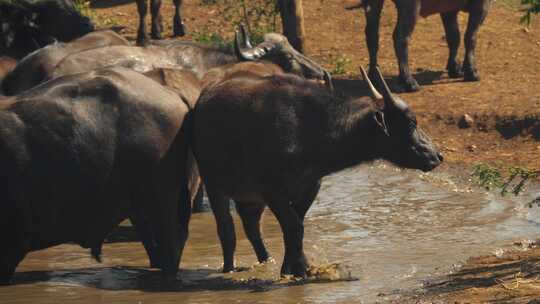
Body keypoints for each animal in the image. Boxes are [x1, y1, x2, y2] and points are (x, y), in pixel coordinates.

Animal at [193, 67, 442, 276]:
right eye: (410, 123)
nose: (438, 155)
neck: (309, 130)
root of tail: (203, 102)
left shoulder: (311, 187)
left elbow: (298, 226)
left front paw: (296, 265)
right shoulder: (274, 192)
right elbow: (293, 227)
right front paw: (297, 270)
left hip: (250, 197)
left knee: (252, 225)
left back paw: (266, 260)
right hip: (215, 185)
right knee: (226, 229)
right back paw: (229, 268)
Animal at [356, 0, 492, 91]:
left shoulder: (448, 9)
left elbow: (454, 37)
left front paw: (455, 69)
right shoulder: (481, 5)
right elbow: (470, 37)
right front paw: (472, 72)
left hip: (373, 3)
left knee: (372, 34)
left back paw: (373, 76)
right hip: (410, 7)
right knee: (400, 37)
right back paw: (408, 81)